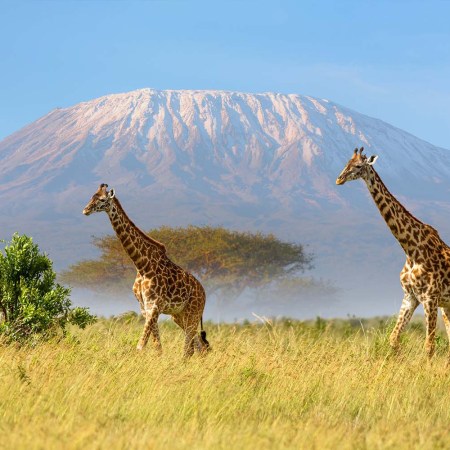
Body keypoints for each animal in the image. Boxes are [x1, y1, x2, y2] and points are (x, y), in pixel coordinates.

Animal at [82, 184, 209, 358]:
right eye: (91, 197)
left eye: (101, 199)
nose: (85, 210)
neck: (142, 266)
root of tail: (203, 293)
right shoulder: (145, 308)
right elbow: (157, 346)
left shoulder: (154, 306)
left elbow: (141, 345)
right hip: (179, 316)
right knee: (197, 346)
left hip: (193, 313)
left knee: (190, 347)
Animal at [334, 149, 450, 360]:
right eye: (347, 162)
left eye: (358, 166)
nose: (339, 179)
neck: (411, 250)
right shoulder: (410, 296)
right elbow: (393, 339)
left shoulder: (430, 298)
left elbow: (429, 347)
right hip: (447, 305)